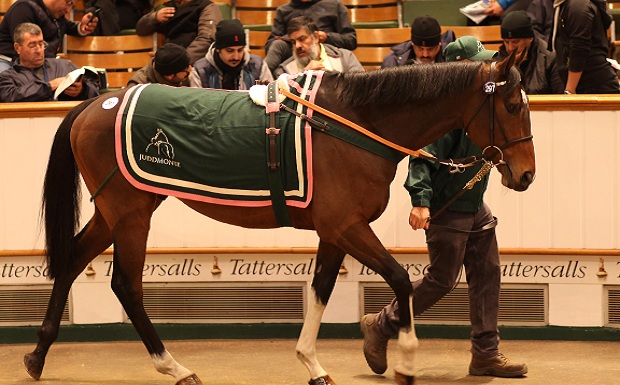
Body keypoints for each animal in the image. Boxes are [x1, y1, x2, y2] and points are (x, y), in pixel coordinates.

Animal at [26, 51, 536, 384]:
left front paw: (313, 365)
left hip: (115, 211)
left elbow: (321, 290)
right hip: (130, 214)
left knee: (71, 262)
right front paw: (406, 363)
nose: (526, 174)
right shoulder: (348, 227)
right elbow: (399, 279)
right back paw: (176, 367)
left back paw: (37, 355)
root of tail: (95, 103)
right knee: (126, 285)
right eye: (513, 106)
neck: (356, 124)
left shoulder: (334, 232)